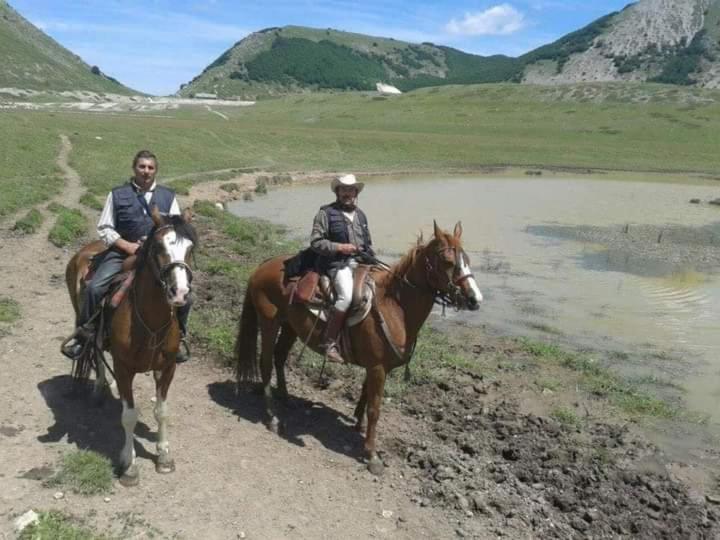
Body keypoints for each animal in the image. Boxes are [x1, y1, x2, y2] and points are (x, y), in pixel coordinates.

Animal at [66, 208, 195, 486]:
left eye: (190, 248)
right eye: (158, 246)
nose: (180, 293)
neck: (150, 320)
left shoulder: (167, 368)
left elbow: (162, 411)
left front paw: (164, 456)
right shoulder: (124, 368)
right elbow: (129, 416)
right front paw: (129, 465)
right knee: (94, 349)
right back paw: (98, 388)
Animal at [238, 219, 484, 472]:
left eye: (467, 260)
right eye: (448, 262)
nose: (475, 299)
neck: (395, 306)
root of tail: (263, 266)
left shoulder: (376, 367)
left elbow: (365, 395)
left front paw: (359, 425)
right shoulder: (377, 368)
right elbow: (375, 409)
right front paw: (372, 455)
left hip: (290, 327)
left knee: (279, 357)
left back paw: (286, 399)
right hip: (269, 322)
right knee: (266, 363)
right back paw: (273, 418)